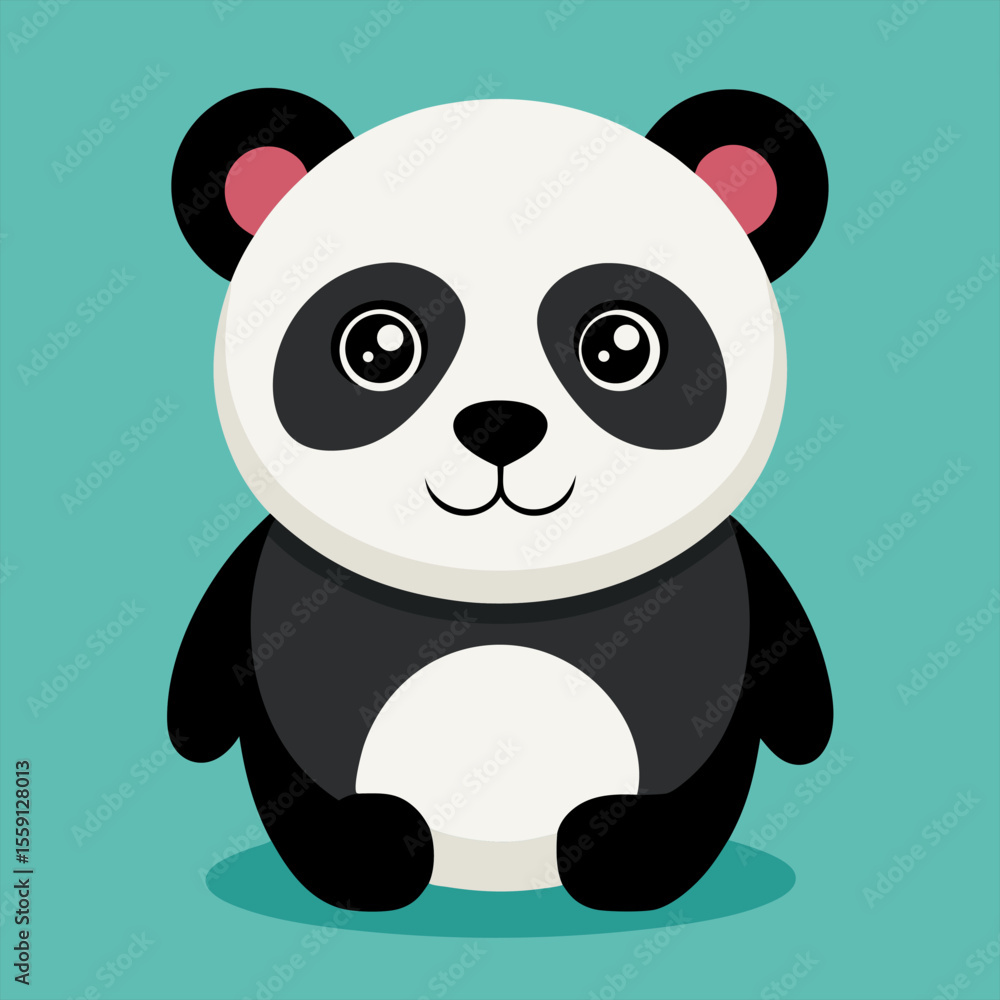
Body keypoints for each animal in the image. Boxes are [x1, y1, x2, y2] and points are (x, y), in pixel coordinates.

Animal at [168, 88, 833, 913]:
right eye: (377, 346)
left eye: (621, 346)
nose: (501, 423)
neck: (500, 598)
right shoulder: (282, 612)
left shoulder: (718, 615)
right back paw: (376, 848)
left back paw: (615, 849)